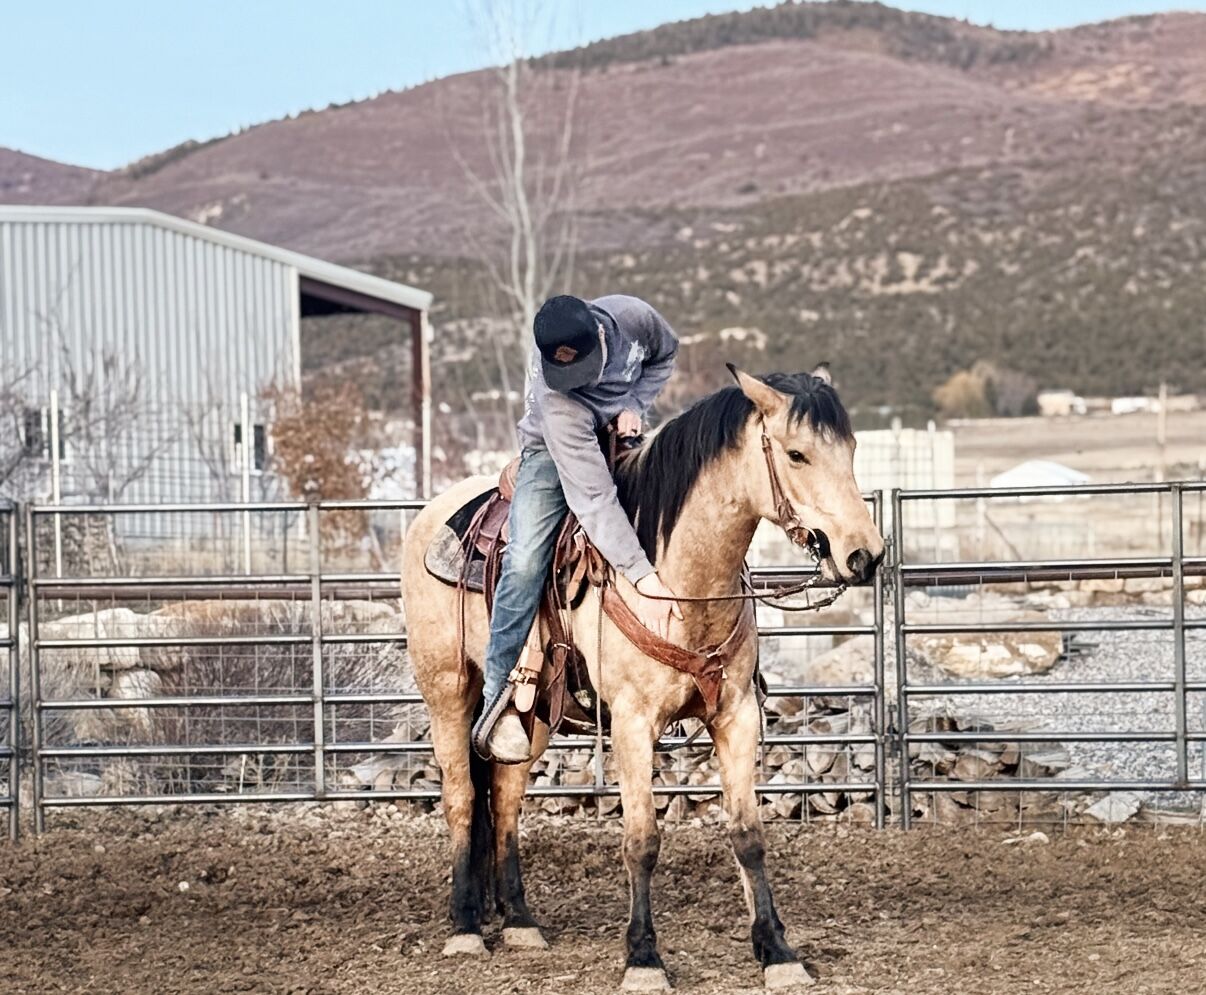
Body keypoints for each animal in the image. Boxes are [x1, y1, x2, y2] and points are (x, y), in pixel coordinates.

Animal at [401, 365, 884, 990]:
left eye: (849, 450)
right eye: (797, 454)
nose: (865, 556)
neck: (678, 586)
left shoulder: (736, 716)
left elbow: (748, 835)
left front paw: (777, 951)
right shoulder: (632, 724)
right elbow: (641, 841)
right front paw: (643, 958)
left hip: (530, 716)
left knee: (504, 798)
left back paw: (520, 923)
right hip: (447, 692)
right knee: (462, 798)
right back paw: (464, 927)